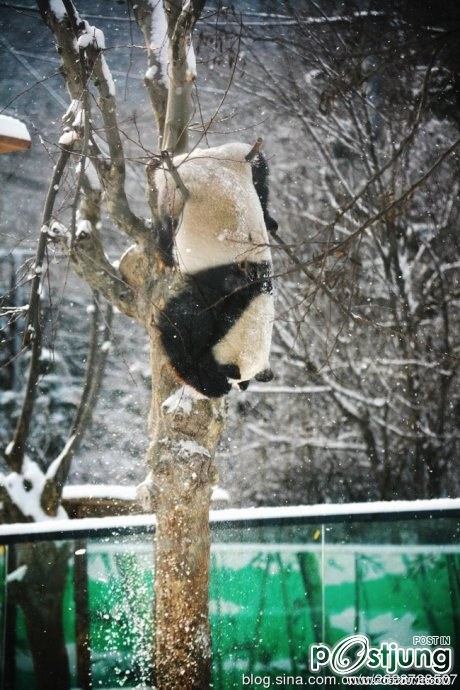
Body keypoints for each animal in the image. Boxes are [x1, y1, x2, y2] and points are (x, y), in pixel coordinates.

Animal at [154, 142, 277, 398]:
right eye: (232, 375)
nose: (243, 387)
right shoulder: (219, 292)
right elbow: (178, 326)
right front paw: (210, 383)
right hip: (177, 190)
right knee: (166, 222)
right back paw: (165, 250)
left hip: (238, 157)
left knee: (261, 177)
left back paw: (269, 220)